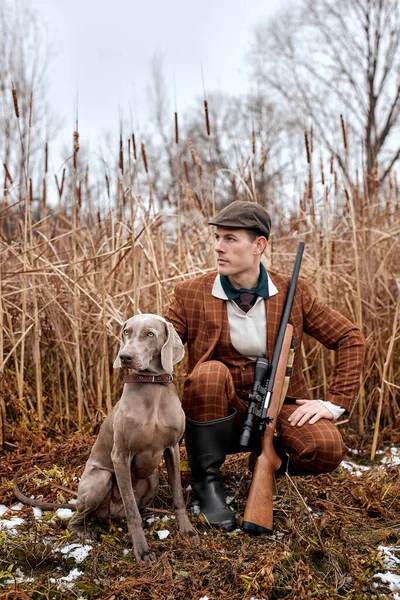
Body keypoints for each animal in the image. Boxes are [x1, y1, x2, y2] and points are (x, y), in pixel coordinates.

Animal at [69, 314, 200, 564]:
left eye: (150, 334)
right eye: (126, 332)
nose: (125, 357)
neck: (152, 387)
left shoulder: (173, 448)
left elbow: (178, 496)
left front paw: (187, 530)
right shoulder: (120, 456)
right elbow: (132, 511)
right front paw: (142, 551)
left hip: (153, 479)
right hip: (99, 479)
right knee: (76, 519)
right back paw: (86, 532)